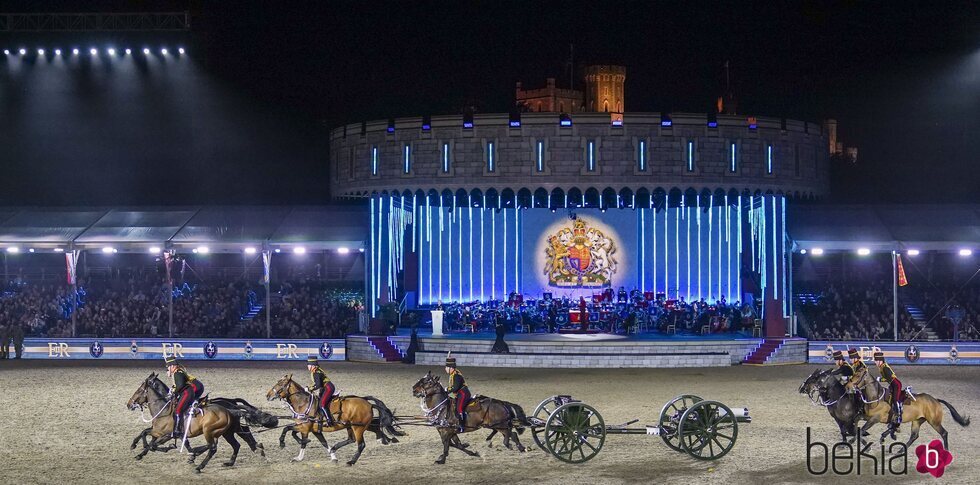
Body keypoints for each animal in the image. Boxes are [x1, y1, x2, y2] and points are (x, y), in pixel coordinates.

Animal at [127, 372, 276, 470]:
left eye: (139, 390)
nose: (129, 404)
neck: (164, 409)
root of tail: (231, 405)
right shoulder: (158, 432)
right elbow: (145, 434)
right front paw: (137, 450)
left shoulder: (166, 435)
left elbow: (152, 443)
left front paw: (168, 448)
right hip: (229, 431)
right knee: (239, 440)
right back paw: (252, 451)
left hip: (212, 431)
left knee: (214, 446)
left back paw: (199, 464)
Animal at [264, 372, 402, 464]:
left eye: (280, 383)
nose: (267, 395)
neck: (303, 403)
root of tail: (367, 402)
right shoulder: (314, 430)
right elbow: (322, 442)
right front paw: (333, 456)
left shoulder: (304, 428)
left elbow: (289, 431)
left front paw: (290, 448)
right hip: (356, 426)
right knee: (361, 434)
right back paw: (385, 439)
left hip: (357, 427)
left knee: (361, 444)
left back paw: (351, 461)